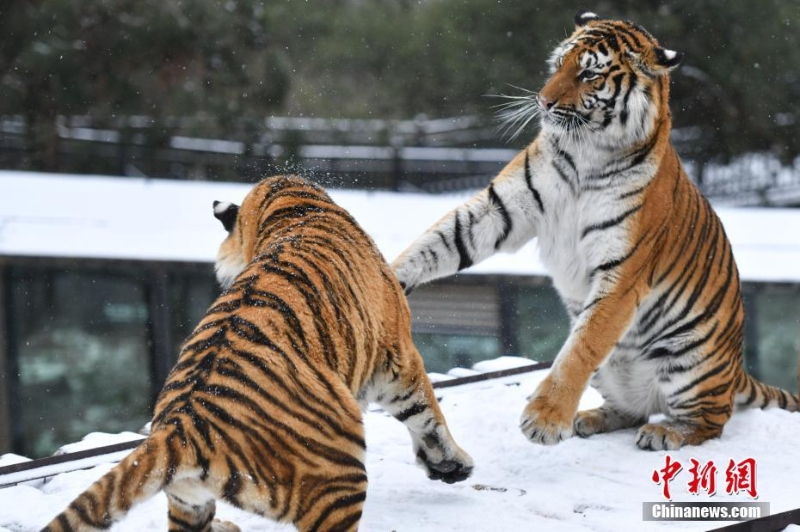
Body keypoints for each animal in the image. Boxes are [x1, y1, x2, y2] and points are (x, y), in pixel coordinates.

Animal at [43, 175, 472, 532]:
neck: (293, 207)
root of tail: (181, 425)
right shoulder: (397, 356)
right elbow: (426, 412)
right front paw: (452, 465)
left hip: (189, 503)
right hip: (338, 477)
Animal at [394, 10, 800, 450]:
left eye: (588, 75)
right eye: (559, 64)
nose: (543, 101)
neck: (585, 152)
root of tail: (736, 369)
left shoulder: (622, 272)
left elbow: (581, 348)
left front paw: (545, 419)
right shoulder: (503, 210)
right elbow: (438, 242)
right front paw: (391, 279)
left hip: (690, 363)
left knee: (712, 420)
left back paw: (665, 432)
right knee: (632, 409)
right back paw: (590, 418)